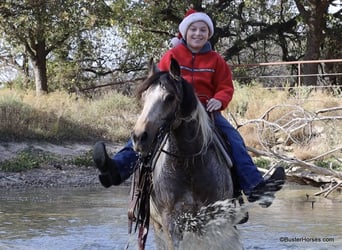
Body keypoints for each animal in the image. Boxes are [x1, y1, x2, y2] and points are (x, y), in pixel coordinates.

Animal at [130, 58, 242, 250]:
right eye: (144, 97)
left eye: (169, 97)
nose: (139, 137)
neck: (189, 163)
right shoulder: (170, 222)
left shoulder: (212, 220)